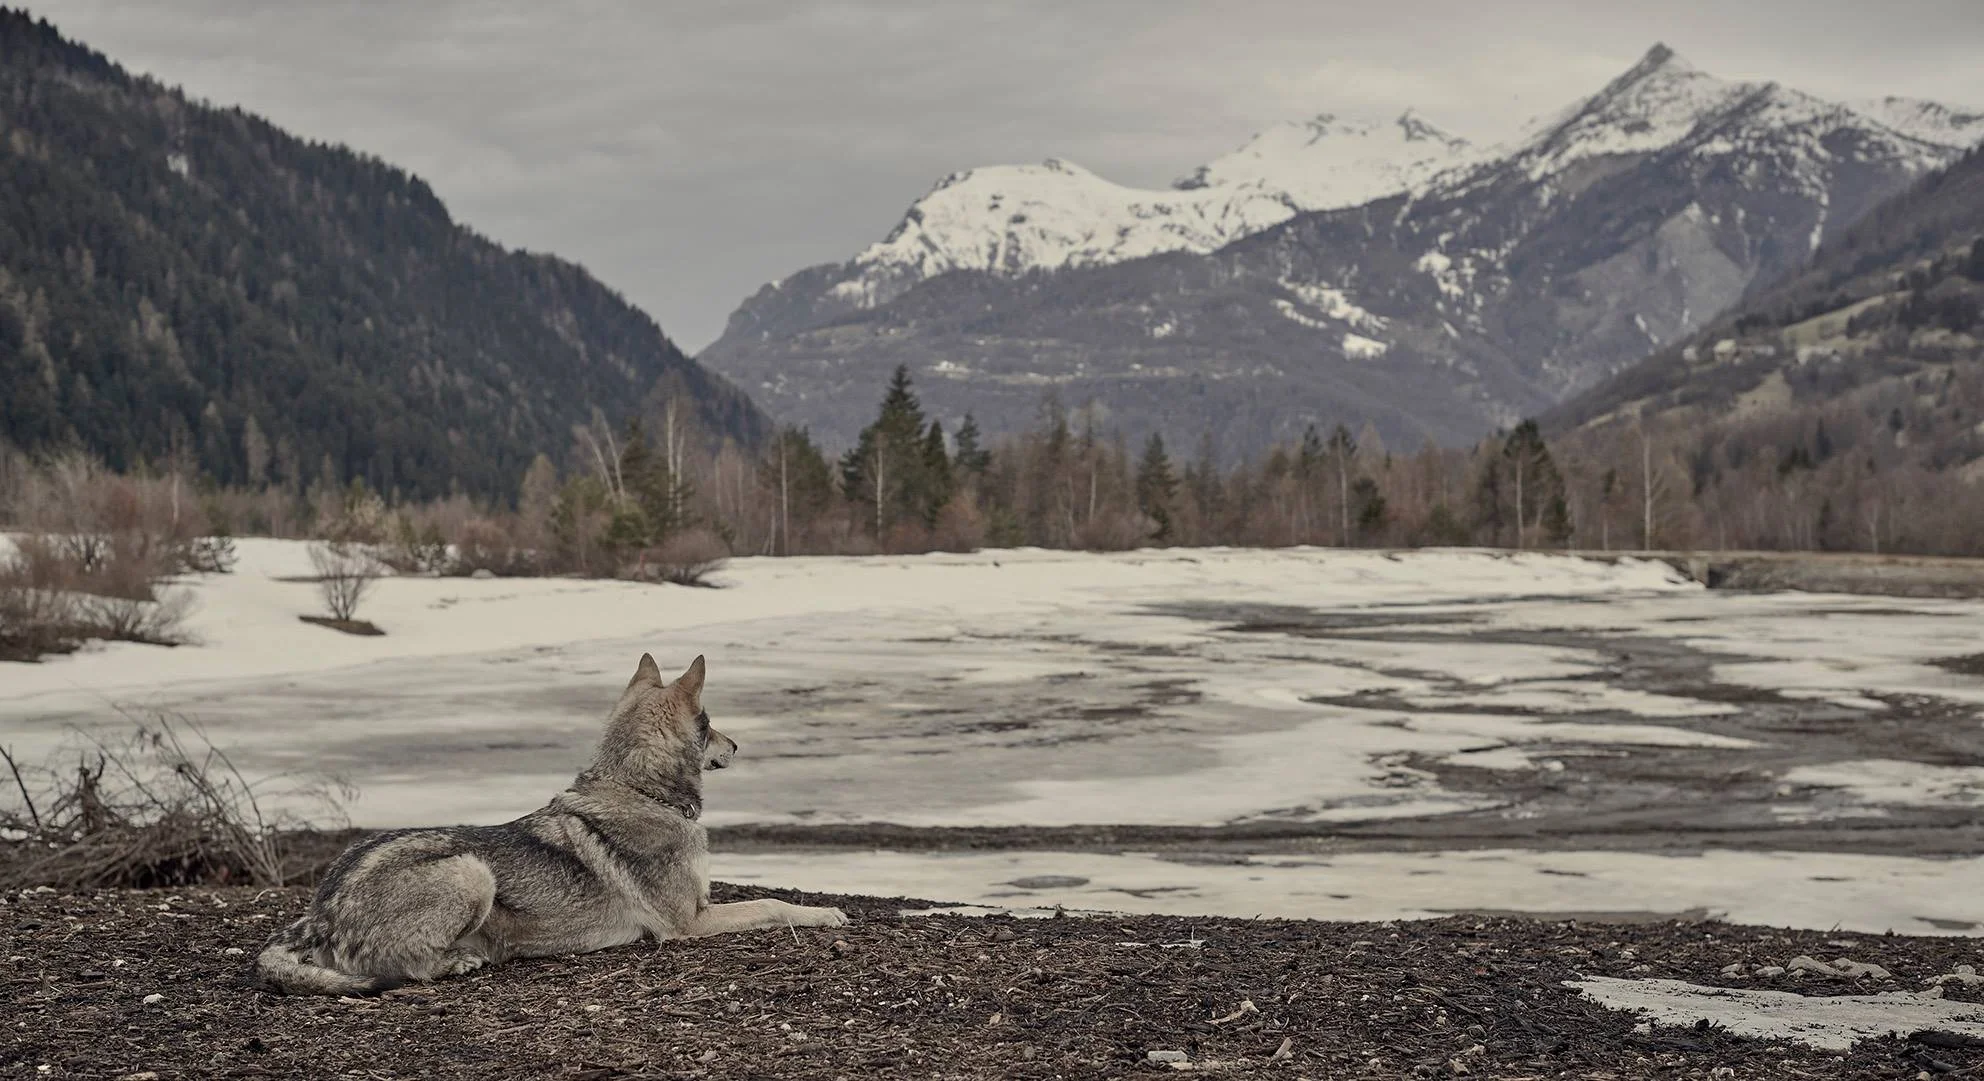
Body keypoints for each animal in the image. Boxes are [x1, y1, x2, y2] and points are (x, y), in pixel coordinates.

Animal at [256, 653, 847, 995]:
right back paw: (459, 964)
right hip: (472, 873)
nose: (738, 746)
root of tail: (321, 910)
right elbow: (771, 903)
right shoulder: (687, 924)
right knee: (402, 968)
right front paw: (827, 913)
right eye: (712, 724)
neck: (641, 790)